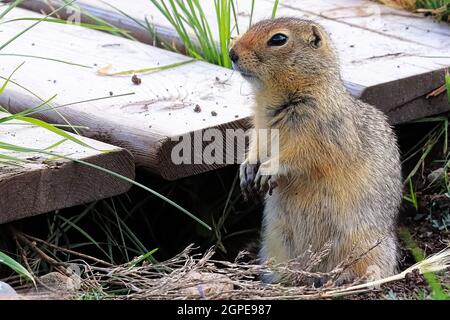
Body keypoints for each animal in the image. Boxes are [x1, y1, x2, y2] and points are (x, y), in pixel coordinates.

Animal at [230, 18, 402, 282]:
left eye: (278, 39)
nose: (232, 53)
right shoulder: (259, 126)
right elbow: (256, 146)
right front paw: (247, 169)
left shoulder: (319, 130)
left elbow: (301, 154)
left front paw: (268, 169)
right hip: (276, 244)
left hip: (365, 246)